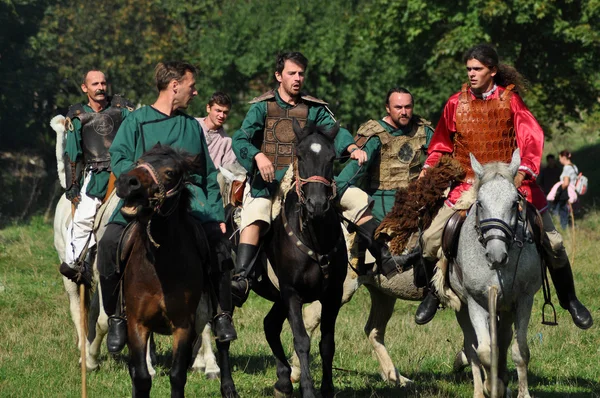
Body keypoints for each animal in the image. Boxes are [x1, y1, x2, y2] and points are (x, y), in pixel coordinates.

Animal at [116, 145, 238, 398]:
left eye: (170, 173)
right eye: (138, 161)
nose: (126, 182)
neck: (159, 266)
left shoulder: (183, 326)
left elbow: (177, 376)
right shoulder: (137, 324)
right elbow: (141, 376)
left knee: (222, 342)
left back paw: (227, 386)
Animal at [251, 120, 350, 398]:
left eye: (331, 157)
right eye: (301, 156)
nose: (317, 205)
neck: (314, 237)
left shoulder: (332, 295)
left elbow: (326, 343)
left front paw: (327, 388)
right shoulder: (292, 293)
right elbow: (301, 340)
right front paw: (308, 389)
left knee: (270, 326)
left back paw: (283, 382)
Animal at [450, 150, 544, 398]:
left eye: (514, 203)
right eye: (480, 203)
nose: (496, 255)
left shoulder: (522, 300)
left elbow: (520, 350)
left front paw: (521, 392)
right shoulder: (476, 302)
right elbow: (484, 351)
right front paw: (491, 386)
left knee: (503, 340)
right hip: (462, 307)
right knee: (472, 348)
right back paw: (479, 389)